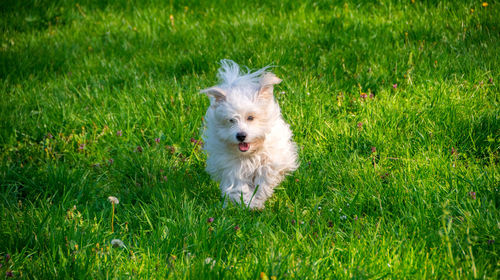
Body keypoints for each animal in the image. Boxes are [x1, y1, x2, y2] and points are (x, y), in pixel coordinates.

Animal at [201, 60, 298, 210]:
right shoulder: (232, 168)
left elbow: (264, 179)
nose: (241, 136)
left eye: (250, 117)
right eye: (231, 120)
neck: (250, 154)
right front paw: (247, 203)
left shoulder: (273, 160)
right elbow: (239, 186)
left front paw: (257, 200)